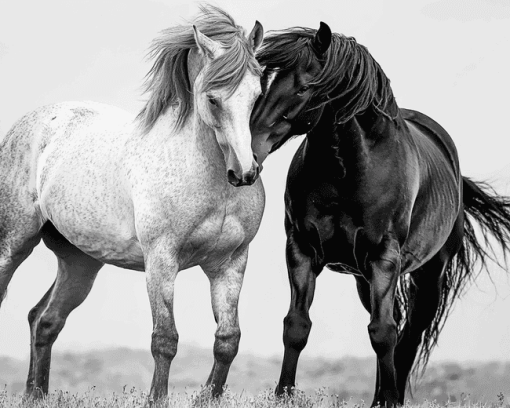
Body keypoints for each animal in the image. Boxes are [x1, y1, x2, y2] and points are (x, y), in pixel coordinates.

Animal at [0, 5, 262, 402]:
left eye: (257, 94)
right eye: (213, 98)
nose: (244, 172)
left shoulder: (230, 263)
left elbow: (227, 340)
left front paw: (208, 397)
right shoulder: (161, 260)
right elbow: (165, 339)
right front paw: (156, 399)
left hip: (80, 263)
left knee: (45, 320)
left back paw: (36, 393)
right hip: (14, 244)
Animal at [250, 23, 510, 408]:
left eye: (303, 87)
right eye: (261, 81)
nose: (250, 150)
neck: (346, 172)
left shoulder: (383, 256)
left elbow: (384, 333)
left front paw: (387, 400)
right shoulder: (301, 249)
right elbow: (297, 326)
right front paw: (283, 396)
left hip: (428, 275)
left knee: (408, 334)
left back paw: (391, 397)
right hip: (364, 278)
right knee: (394, 326)